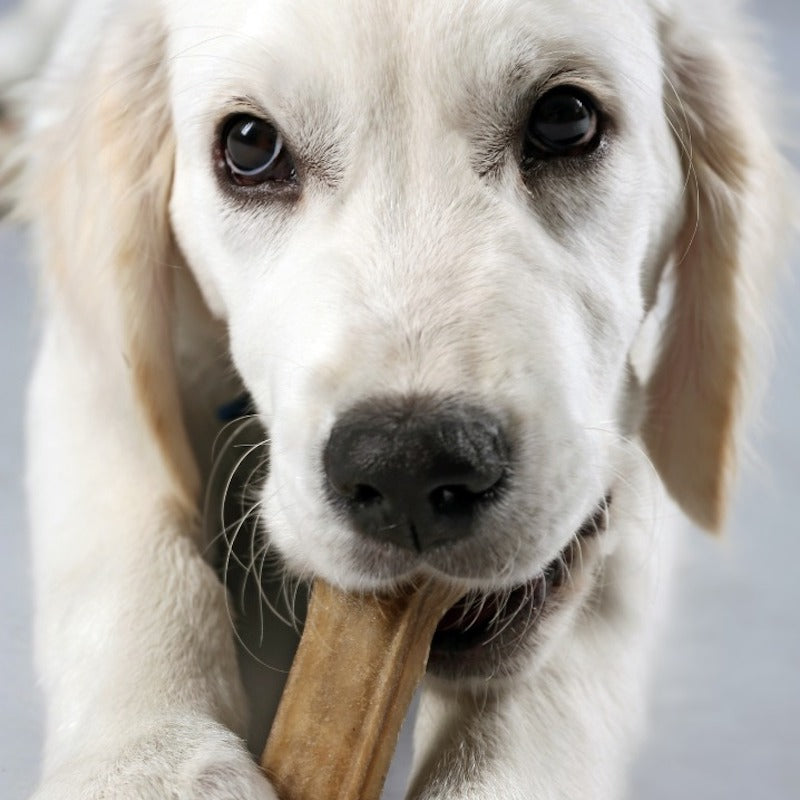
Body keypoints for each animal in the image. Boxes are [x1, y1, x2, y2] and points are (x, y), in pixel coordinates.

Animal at [0, 0, 788, 796]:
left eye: (566, 120)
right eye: (250, 147)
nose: (410, 468)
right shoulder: (91, 363)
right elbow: (125, 529)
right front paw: (146, 761)